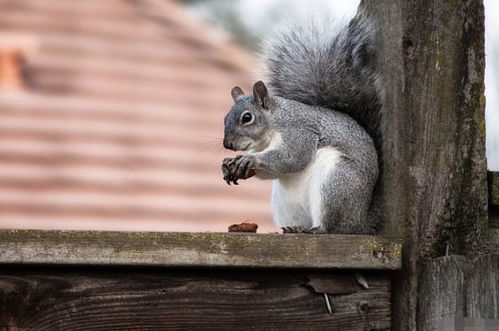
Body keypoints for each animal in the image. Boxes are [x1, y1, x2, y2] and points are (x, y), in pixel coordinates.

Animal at [222, 13, 382, 235]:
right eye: (225, 118)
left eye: (247, 118)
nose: (227, 145)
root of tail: (359, 221)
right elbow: (273, 171)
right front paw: (229, 164)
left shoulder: (300, 132)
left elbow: (292, 157)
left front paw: (249, 159)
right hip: (286, 204)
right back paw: (294, 229)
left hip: (335, 182)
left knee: (332, 226)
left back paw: (317, 229)